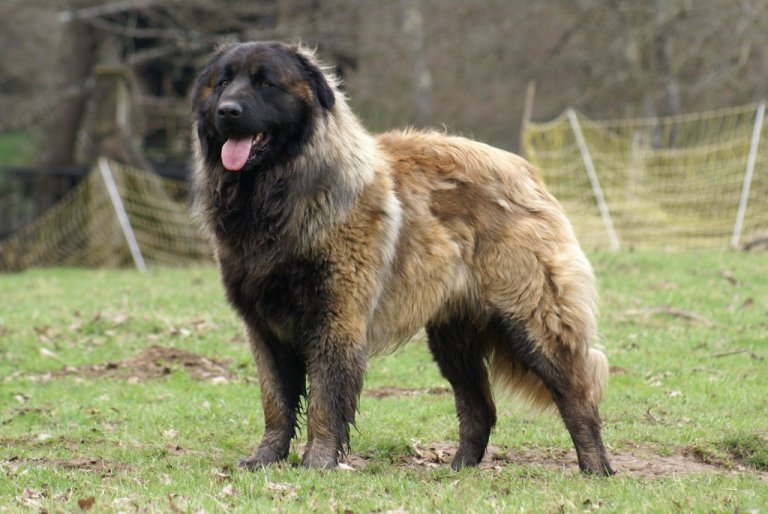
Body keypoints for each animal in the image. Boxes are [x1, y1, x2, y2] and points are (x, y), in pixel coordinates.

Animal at [190, 40, 612, 472]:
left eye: (265, 83)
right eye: (222, 83)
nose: (227, 111)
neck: (277, 195)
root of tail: (525, 170)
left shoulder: (336, 318)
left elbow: (324, 398)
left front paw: (318, 461)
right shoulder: (264, 328)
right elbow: (275, 401)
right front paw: (266, 458)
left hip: (529, 321)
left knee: (577, 394)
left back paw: (596, 469)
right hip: (452, 338)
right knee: (479, 407)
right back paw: (459, 468)